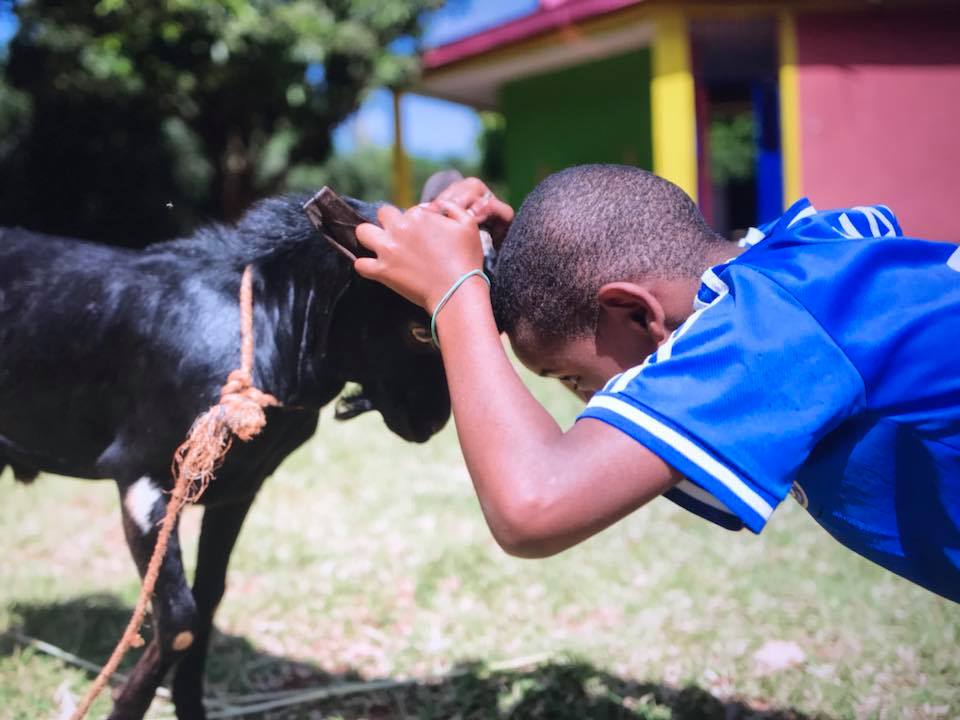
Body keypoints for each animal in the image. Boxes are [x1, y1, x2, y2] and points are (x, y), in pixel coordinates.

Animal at [0, 188, 452, 716]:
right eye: (418, 330)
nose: (434, 420)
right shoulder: (142, 476)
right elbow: (180, 620)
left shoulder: (238, 489)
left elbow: (210, 600)